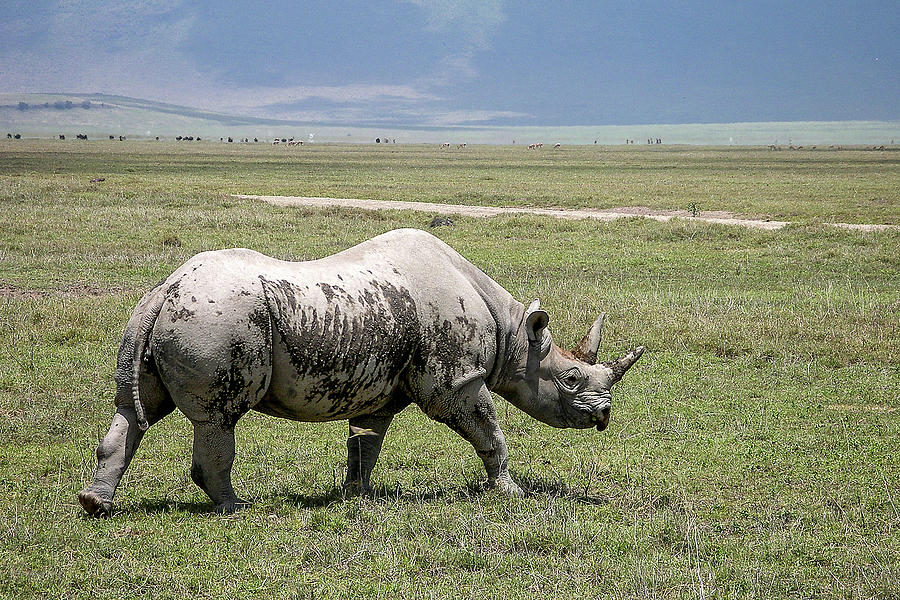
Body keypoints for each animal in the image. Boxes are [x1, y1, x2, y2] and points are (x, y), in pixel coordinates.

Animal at [78, 228, 643, 516]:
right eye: (570, 380)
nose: (604, 416)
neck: (512, 333)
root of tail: (166, 288)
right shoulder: (456, 381)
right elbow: (490, 432)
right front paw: (510, 493)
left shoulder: (381, 389)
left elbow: (365, 442)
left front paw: (357, 495)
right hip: (219, 317)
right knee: (218, 417)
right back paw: (237, 508)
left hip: (159, 315)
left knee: (135, 409)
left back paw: (96, 505)